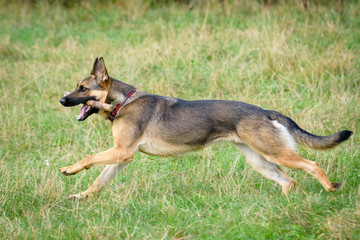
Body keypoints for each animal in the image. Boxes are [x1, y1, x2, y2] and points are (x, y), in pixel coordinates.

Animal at [58, 57, 352, 200]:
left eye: (82, 89)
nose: (61, 101)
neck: (122, 101)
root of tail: (264, 111)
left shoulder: (122, 152)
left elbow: (89, 158)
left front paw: (70, 169)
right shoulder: (120, 157)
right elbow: (98, 181)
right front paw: (80, 196)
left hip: (275, 154)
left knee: (312, 164)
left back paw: (330, 188)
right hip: (260, 161)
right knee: (289, 181)